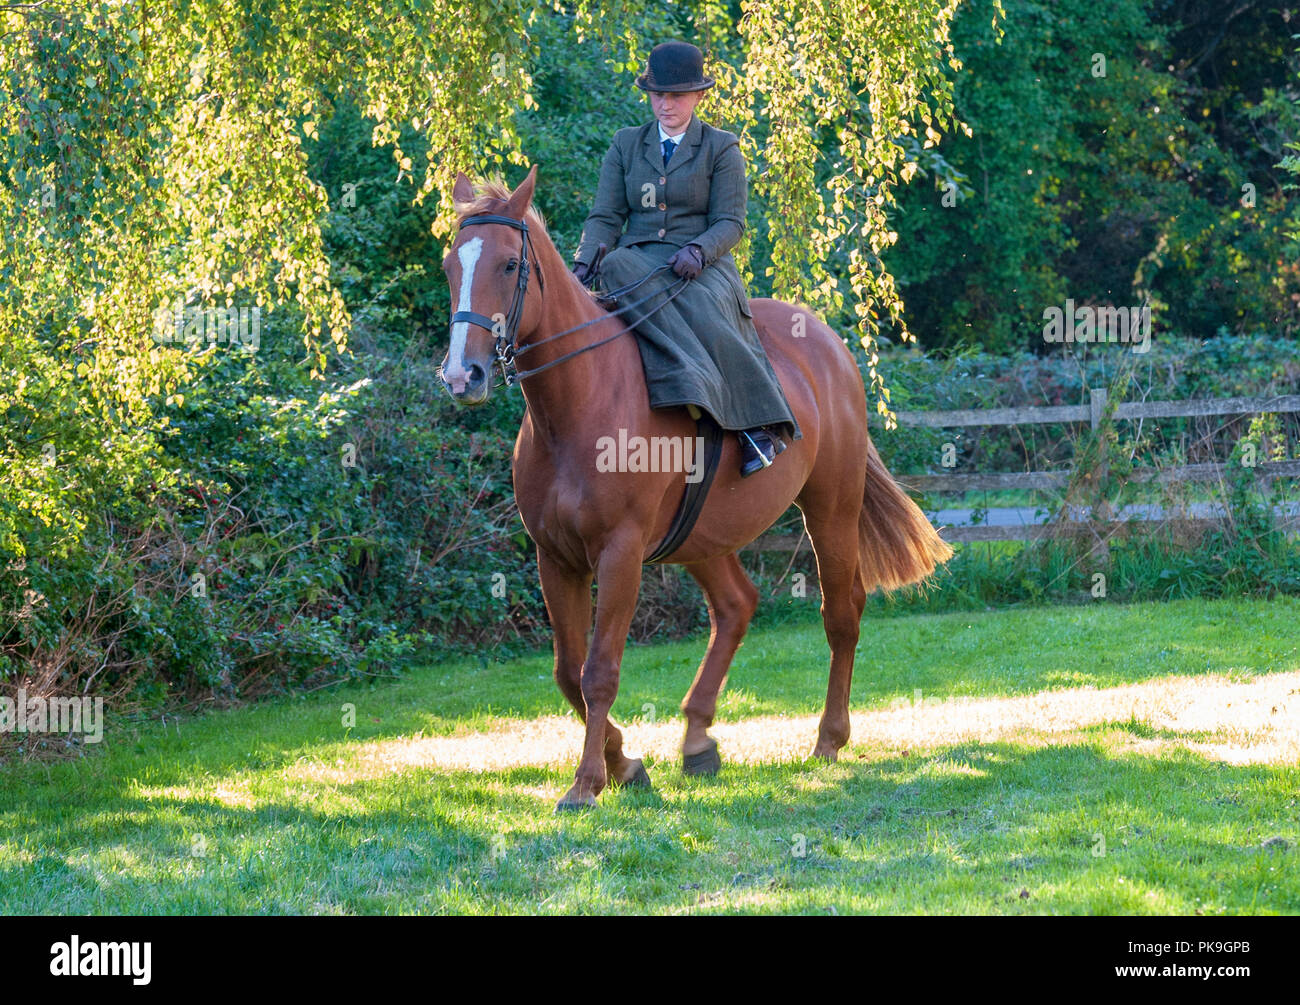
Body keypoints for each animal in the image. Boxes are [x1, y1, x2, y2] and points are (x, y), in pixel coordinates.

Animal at [441, 164, 951, 806]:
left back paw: (828, 739)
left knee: (841, 612)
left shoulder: (620, 553)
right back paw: (698, 739)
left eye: (510, 265)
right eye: (450, 266)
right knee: (736, 606)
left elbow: (598, 671)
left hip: (831, 508)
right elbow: (567, 671)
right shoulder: (554, 557)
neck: (576, 401)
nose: (463, 376)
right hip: (701, 536)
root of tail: (826, 342)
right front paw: (624, 764)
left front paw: (587, 782)